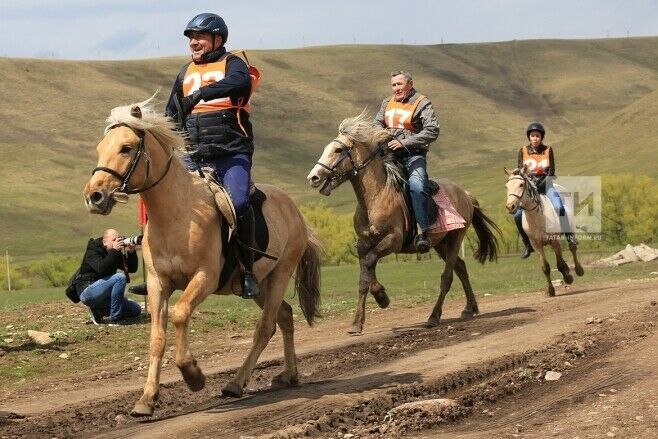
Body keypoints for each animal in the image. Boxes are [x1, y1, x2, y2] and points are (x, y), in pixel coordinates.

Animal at [83, 98, 322, 418]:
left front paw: (193, 375)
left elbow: (181, 314)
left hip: (281, 274)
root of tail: (295, 210)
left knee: (265, 327)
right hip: (262, 283)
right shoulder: (158, 283)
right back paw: (288, 375)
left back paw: (236, 383)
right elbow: (157, 338)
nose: (94, 196)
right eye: (100, 147)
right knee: (283, 317)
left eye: (126, 147)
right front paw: (146, 399)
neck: (177, 214)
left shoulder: (205, 277)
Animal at [306, 113, 498, 334]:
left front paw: (381, 298)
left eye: (338, 150)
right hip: (440, 243)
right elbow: (365, 275)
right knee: (461, 268)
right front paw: (361, 318)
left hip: (455, 239)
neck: (376, 198)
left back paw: (434, 317)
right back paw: (469, 308)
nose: (313, 177)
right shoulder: (363, 243)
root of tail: (465, 194)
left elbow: (369, 262)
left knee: (447, 277)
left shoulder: (393, 240)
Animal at [502, 167, 584, 298]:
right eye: (507, 186)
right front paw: (550, 290)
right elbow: (545, 267)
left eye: (521, 184)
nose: (510, 206)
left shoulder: (554, 241)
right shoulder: (537, 245)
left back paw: (578, 270)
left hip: (570, 229)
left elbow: (559, 264)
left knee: (572, 248)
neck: (538, 216)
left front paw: (568, 278)